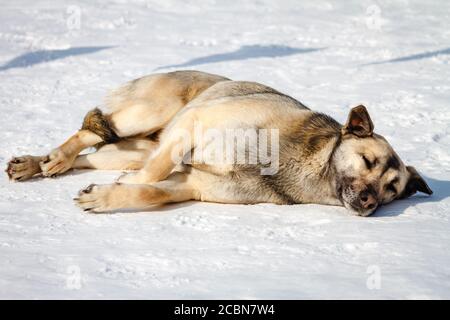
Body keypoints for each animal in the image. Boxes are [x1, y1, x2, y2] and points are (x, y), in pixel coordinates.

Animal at [4, 69, 432, 215]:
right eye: (367, 162)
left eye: (392, 189)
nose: (370, 202)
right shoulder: (195, 123)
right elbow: (154, 174)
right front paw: (120, 188)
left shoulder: (195, 184)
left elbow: (153, 190)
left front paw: (109, 196)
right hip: (152, 113)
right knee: (90, 129)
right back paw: (55, 157)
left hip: (133, 148)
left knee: (92, 157)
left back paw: (38, 163)